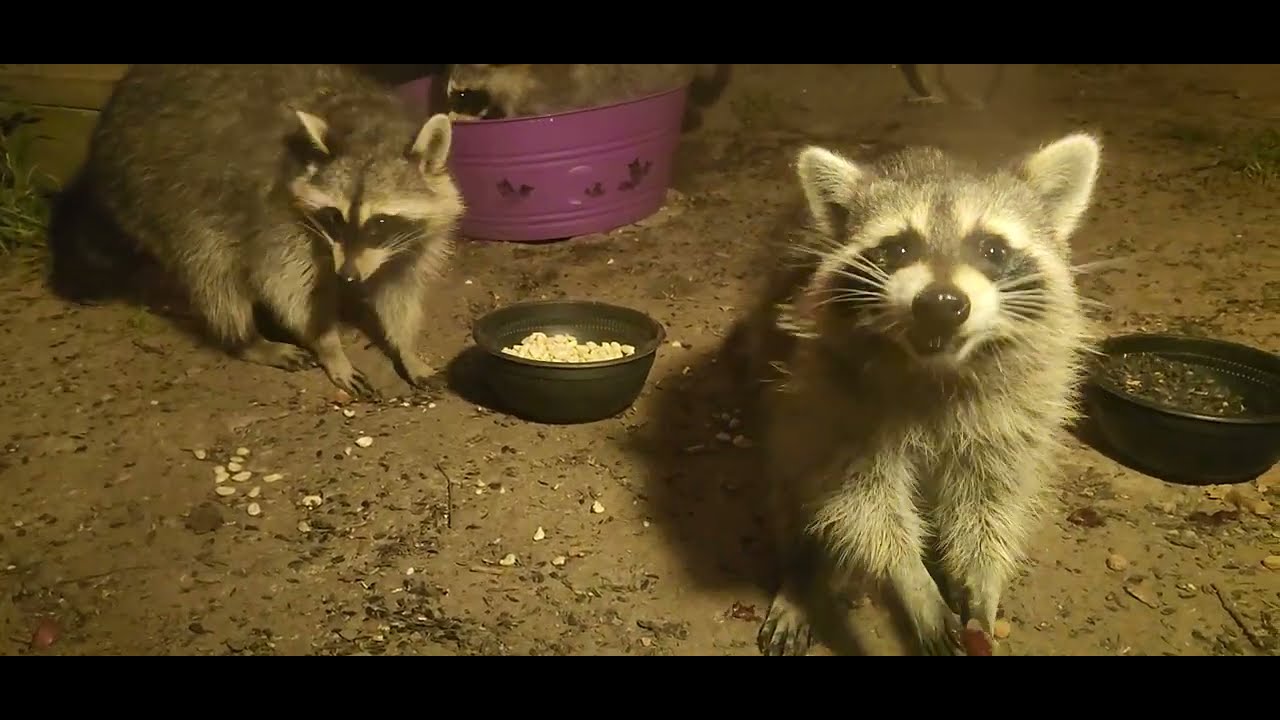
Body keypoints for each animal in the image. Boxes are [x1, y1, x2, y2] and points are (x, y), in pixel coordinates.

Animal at [49, 64, 465, 399]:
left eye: (379, 222)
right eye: (334, 217)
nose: (347, 278)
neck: (368, 123)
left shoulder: (411, 238)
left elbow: (399, 285)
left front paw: (406, 346)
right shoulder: (275, 212)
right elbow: (287, 285)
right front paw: (329, 345)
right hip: (157, 189)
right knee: (211, 269)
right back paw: (243, 338)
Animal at [743, 132, 1103, 656]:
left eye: (991, 248)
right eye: (898, 247)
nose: (942, 304)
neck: (937, 368)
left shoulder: (1018, 410)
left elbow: (991, 498)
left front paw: (981, 582)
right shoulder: (828, 396)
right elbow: (862, 501)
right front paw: (910, 581)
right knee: (792, 484)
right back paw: (802, 575)